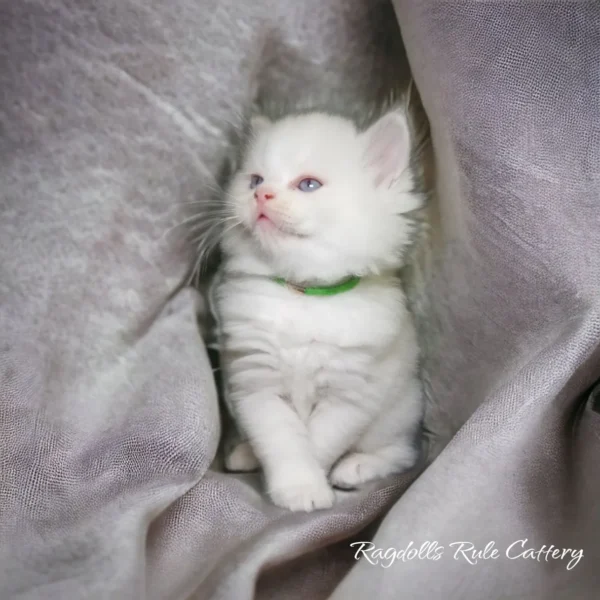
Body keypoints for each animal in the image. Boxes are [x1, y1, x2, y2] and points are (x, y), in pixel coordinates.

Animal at [210, 109, 422, 510]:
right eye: (255, 180)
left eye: (308, 185)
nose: (261, 194)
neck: (305, 295)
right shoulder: (255, 381)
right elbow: (282, 441)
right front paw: (296, 486)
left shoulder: (351, 394)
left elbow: (317, 442)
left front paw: (309, 487)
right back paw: (245, 453)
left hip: (399, 410)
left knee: (402, 453)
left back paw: (356, 467)